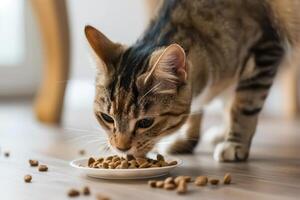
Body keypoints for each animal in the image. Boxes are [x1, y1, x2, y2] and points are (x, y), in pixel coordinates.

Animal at [84, 0, 300, 162]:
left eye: (146, 122)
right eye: (106, 118)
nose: (121, 148)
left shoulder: (265, 47)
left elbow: (242, 107)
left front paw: (235, 144)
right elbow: (203, 109)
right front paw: (187, 140)